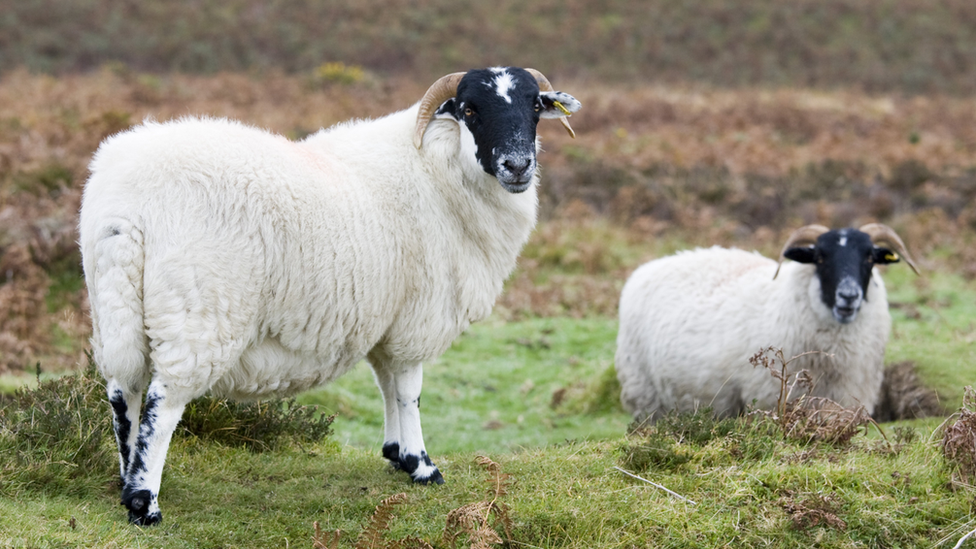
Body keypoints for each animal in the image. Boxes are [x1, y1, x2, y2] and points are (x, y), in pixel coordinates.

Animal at [80, 65, 580, 524]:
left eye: (535, 106)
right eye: (470, 109)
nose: (518, 166)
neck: (438, 167)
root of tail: (127, 206)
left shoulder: (386, 318)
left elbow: (386, 383)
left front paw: (396, 453)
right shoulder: (416, 318)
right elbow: (409, 392)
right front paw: (422, 466)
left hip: (114, 305)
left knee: (124, 393)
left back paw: (126, 480)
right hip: (200, 312)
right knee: (162, 405)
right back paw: (145, 503)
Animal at [616, 225, 916, 422]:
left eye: (870, 257)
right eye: (820, 257)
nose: (849, 296)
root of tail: (649, 266)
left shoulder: (846, 401)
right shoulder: (769, 398)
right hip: (645, 396)